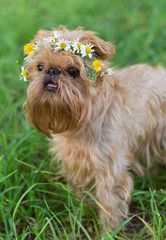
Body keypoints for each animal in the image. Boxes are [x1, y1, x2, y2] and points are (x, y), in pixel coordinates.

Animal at [21, 25, 166, 230]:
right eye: (39, 67)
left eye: (73, 71)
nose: (51, 71)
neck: (83, 119)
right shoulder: (76, 164)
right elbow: (81, 193)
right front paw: (82, 212)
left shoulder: (109, 170)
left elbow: (109, 203)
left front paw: (109, 231)